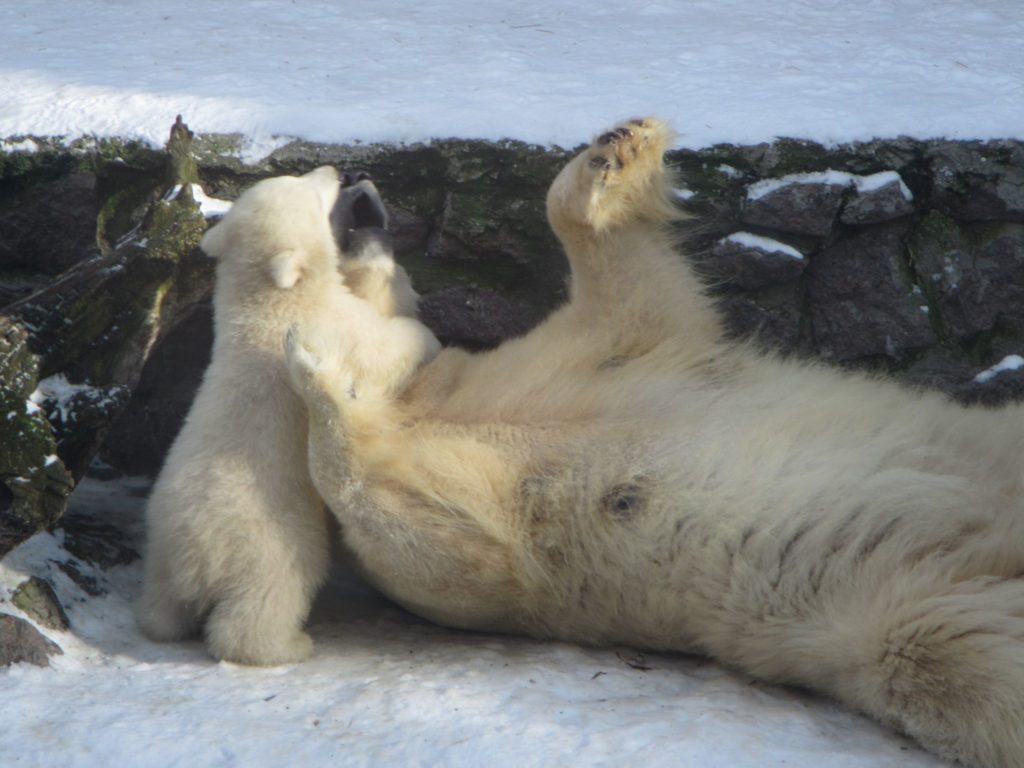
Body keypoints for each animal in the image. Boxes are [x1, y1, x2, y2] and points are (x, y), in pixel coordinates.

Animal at [138, 167, 438, 667]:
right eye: (311, 190)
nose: (338, 171)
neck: (271, 301)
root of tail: (193, 559)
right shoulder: (331, 327)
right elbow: (378, 349)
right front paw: (426, 337)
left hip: (161, 550)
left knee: (163, 606)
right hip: (269, 542)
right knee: (267, 598)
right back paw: (289, 645)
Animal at [286, 120, 1024, 768]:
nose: (359, 189)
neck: (426, 402)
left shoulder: (592, 357)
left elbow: (639, 297)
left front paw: (616, 151)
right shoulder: (501, 535)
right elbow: (456, 555)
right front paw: (319, 370)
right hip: (912, 597)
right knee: (957, 659)